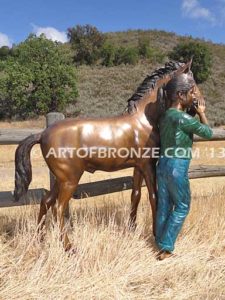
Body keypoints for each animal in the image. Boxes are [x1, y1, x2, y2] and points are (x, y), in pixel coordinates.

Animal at [14, 59, 200, 250]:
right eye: (192, 84)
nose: (198, 104)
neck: (144, 120)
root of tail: (42, 134)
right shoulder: (148, 165)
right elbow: (154, 196)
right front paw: (155, 234)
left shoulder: (138, 166)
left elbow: (135, 195)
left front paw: (132, 229)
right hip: (69, 180)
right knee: (58, 207)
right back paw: (69, 247)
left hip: (61, 179)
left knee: (46, 201)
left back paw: (39, 240)